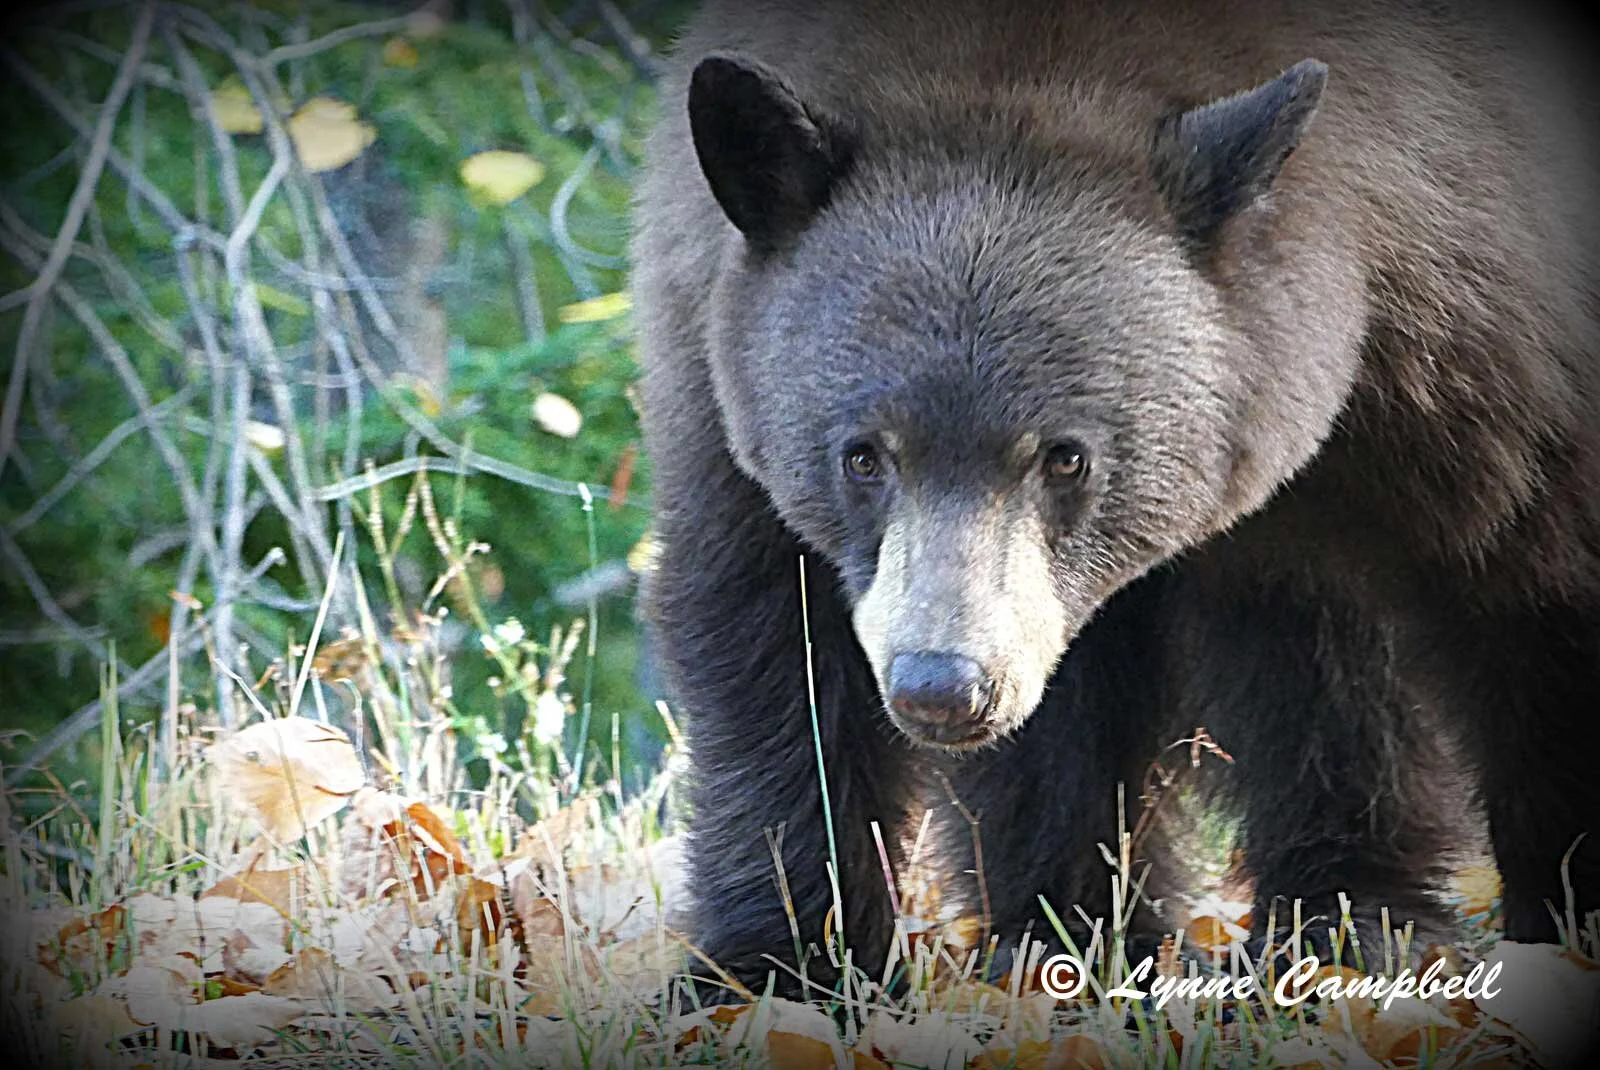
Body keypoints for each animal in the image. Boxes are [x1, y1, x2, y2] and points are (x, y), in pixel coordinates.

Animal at [630, 0, 1600, 996]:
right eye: (863, 456)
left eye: (1067, 457)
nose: (943, 687)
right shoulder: (709, 359)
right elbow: (771, 639)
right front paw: (775, 965)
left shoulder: (1473, 354)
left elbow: (1533, 604)